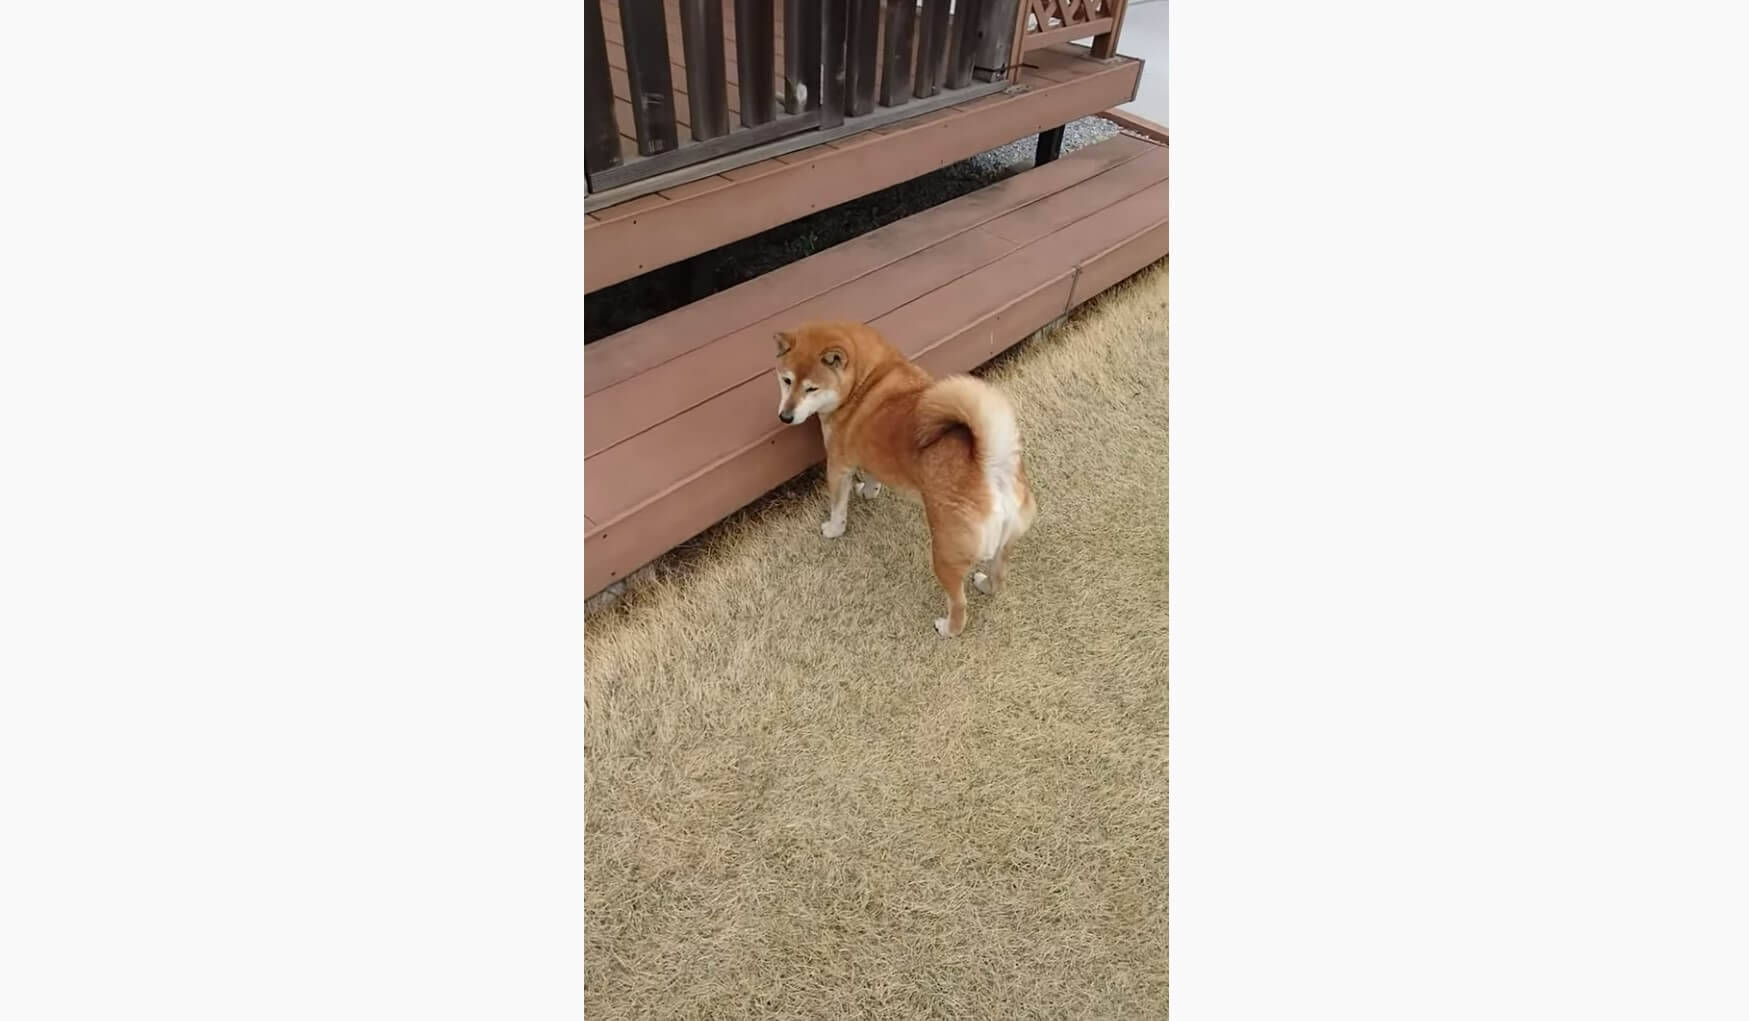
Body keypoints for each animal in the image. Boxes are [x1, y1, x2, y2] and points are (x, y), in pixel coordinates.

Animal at [769, 323, 1035, 632]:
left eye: (812, 388)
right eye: (786, 380)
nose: (785, 417)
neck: (864, 380)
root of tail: (990, 466)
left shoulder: (837, 466)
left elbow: (838, 508)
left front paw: (833, 529)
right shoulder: (870, 454)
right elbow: (873, 477)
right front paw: (868, 491)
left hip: (945, 554)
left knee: (959, 604)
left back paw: (947, 628)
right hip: (1006, 543)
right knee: (998, 577)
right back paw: (985, 585)